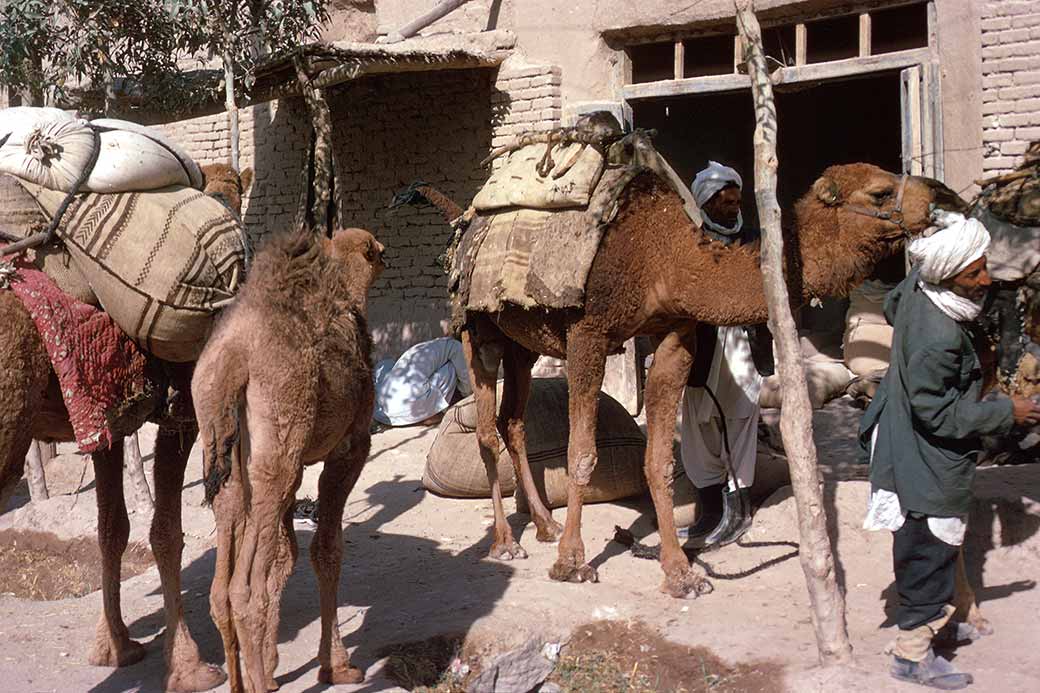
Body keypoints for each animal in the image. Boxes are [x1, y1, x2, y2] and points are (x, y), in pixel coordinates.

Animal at [0, 163, 250, 690]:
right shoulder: (182, 414)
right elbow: (166, 531)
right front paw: (190, 665)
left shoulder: (102, 411)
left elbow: (112, 527)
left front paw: (114, 646)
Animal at [194, 223, 386, 686]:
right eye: (377, 252)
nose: (386, 251)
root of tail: (234, 358)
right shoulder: (350, 446)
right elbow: (326, 550)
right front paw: (337, 666)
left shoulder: (296, 462)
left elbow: (286, 556)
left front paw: (274, 663)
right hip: (279, 432)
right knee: (245, 592)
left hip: (225, 452)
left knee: (220, 590)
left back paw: (243, 680)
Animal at [399, 163, 965, 599]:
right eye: (880, 191)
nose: (945, 195)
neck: (666, 259)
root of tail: (464, 218)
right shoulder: (589, 333)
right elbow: (582, 453)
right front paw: (573, 563)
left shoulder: (674, 335)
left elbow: (660, 461)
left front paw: (680, 574)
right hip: (478, 329)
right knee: (487, 429)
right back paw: (506, 542)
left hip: (522, 340)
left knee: (513, 422)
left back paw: (543, 524)